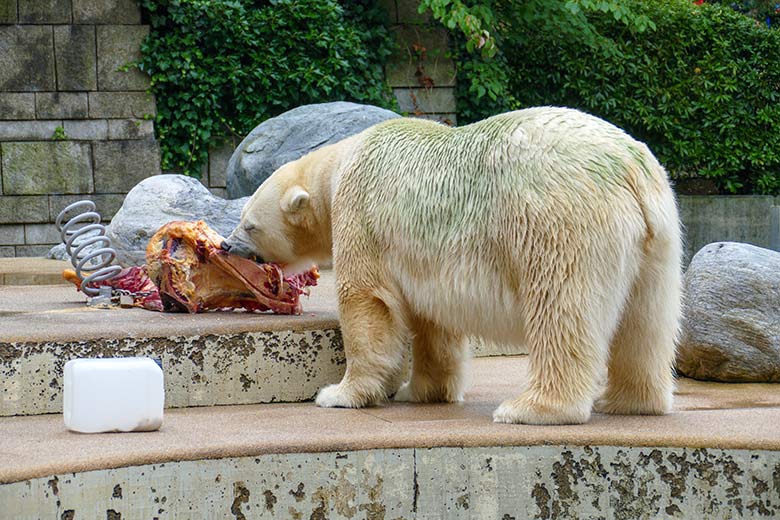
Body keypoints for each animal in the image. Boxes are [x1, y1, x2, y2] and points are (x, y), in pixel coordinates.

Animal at [222, 107, 680, 424]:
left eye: (249, 222)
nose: (227, 244)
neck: (337, 168)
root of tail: (630, 170)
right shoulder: (425, 257)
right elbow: (433, 323)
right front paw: (422, 390)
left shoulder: (361, 213)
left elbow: (367, 301)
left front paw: (339, 394)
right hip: (658, 237)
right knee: (647, 320)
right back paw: (629, 401)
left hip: (558, 221)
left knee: (561, 307)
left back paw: (529, 408)